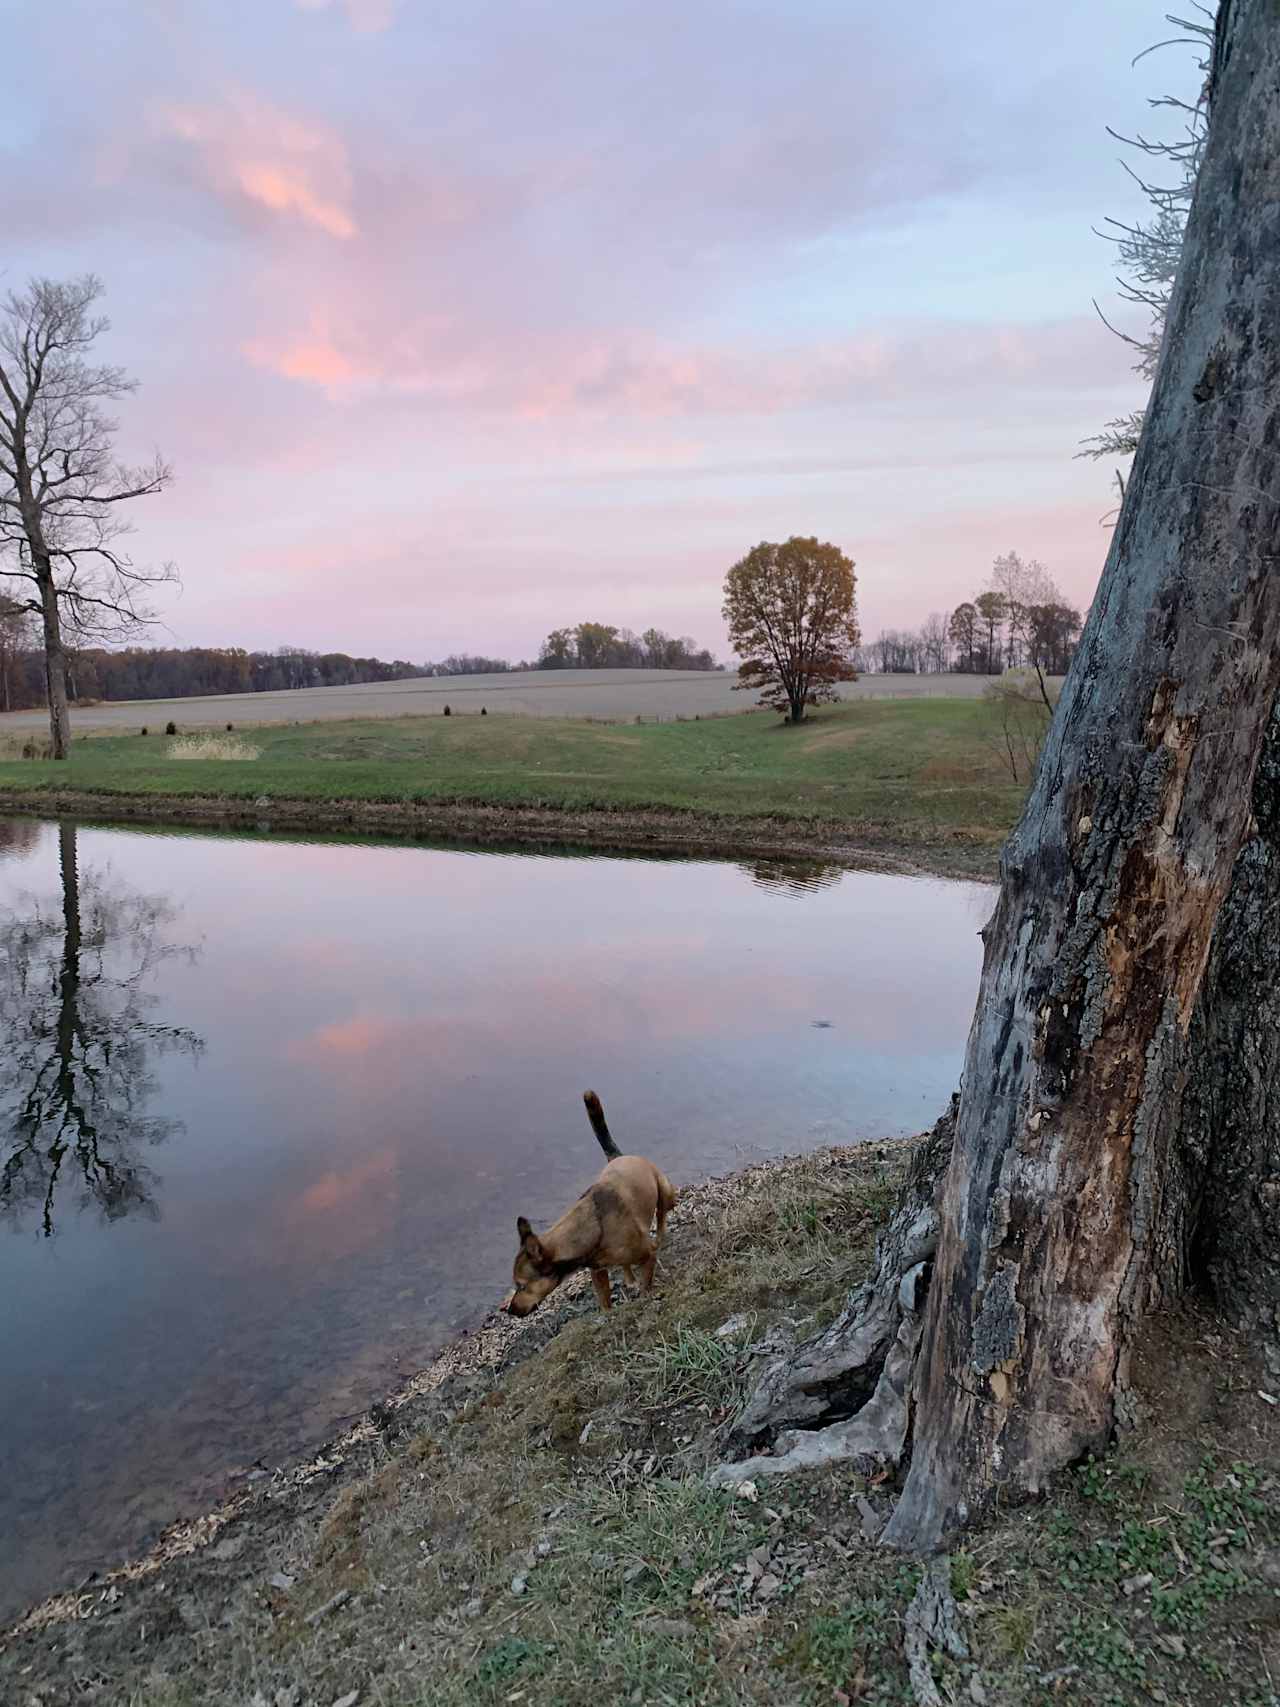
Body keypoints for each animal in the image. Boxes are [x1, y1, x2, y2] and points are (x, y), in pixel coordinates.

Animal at [505, 1092, 675, 1317]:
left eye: (522, 1285)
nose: (510, 1311)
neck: (593, 1231)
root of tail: (619, 1156)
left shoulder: (647, 1257)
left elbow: (646, 1285)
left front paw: (645, 1298)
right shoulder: (598, 1272)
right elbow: (604, 1301)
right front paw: (608, 1316)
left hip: (666, 1190)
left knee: (663, 1212)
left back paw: (661, 1236)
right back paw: (629, 1278)